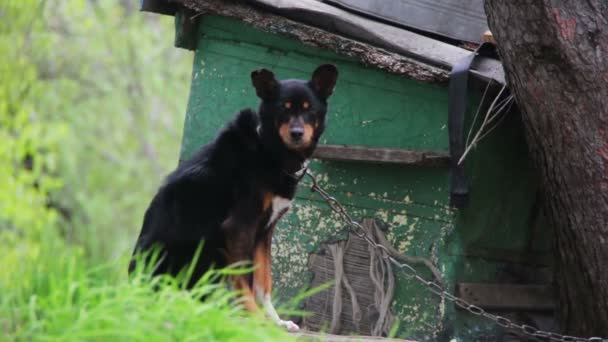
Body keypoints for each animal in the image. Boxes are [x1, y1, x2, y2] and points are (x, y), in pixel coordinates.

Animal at [129, 64, 338, 332]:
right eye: (283, 108)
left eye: (309, 108)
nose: (297, 133)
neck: (269, 151)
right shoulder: (239, 227)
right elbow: (243, 284)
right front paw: (258, 322)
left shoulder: (264, 231)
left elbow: (263, 282)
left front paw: (276, 321)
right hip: (200, 251)